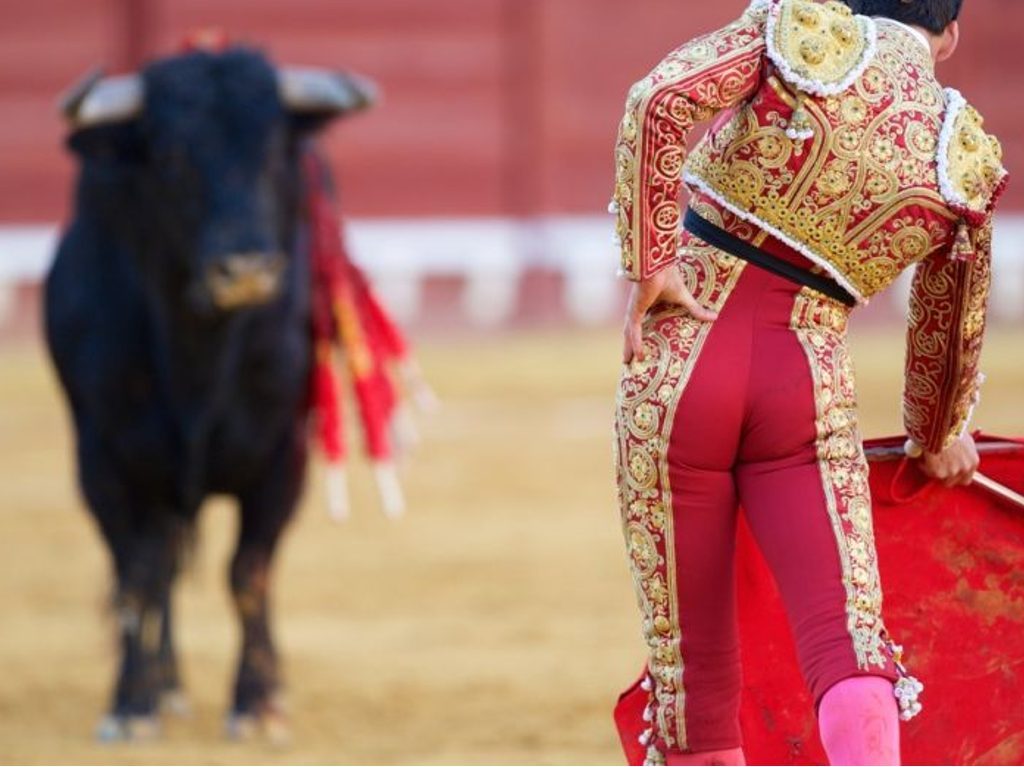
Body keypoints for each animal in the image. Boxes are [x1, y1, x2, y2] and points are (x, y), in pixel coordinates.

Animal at [45, 46, 372, 737]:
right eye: (172, 156)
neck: (198, 353)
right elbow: (135, 577)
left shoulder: (282, 458)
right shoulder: (101, 461)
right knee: (160, 563)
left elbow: (248, 573)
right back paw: (165, 686)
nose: (245, 268)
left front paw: (256, 702)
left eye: (274, 149)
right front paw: (131, 703)